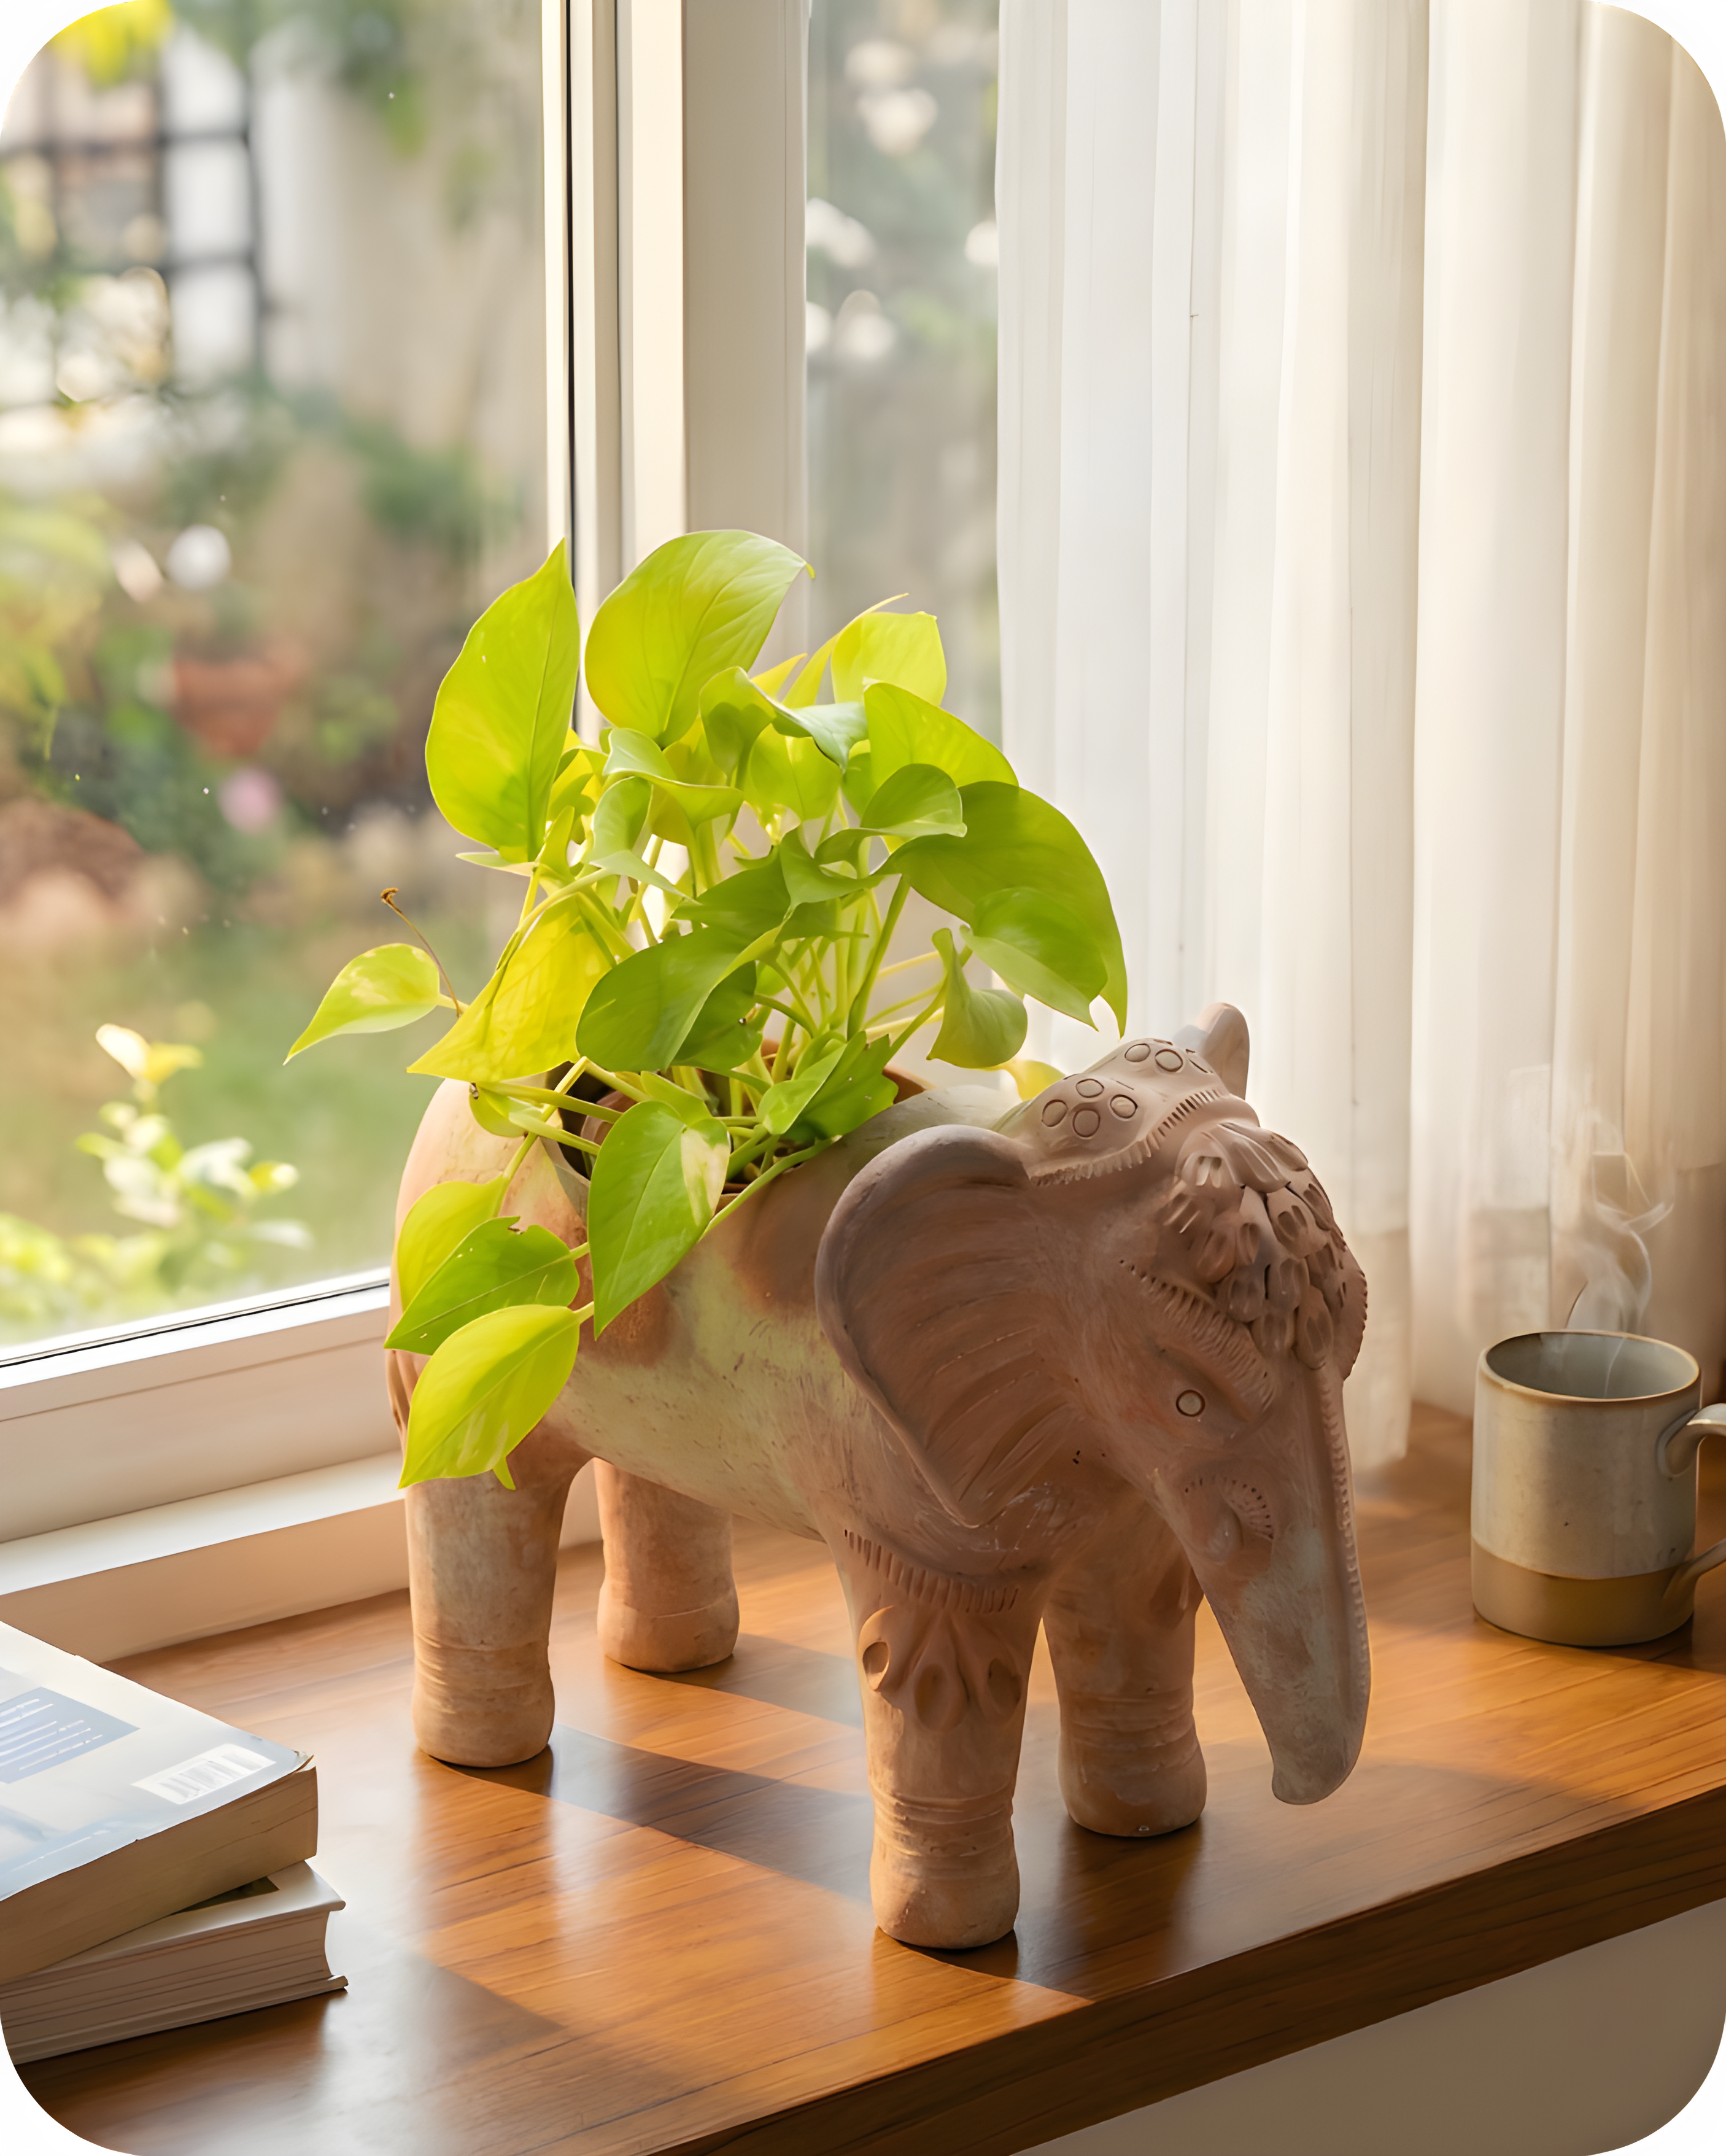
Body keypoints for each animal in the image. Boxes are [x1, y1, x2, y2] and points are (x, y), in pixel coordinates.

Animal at [386, 1003, 1371, 1950]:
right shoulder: (898, 1489)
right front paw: (947, 1939)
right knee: (474, 1514)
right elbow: (939, 1672)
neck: (1021, 1153)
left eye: (1357, 1334)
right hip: (457, 1364)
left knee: (653, 1478)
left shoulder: (1107, 1468)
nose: (1291, 1794)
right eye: (1189, 1399)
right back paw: (482, 1752)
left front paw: (1151, 1826)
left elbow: (1135, 1607)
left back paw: (675, 1656)